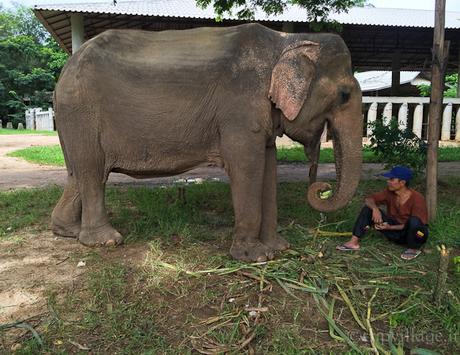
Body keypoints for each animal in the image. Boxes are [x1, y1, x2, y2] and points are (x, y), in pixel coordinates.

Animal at [52, 22, 362, 262]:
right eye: (344, 95)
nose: (321, 188)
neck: (286, 40)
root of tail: (65, 69)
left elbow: (268, 163)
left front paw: (279, 248)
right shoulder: (239, 106)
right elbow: (246, 166)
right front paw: (255, 257)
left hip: (72, 119)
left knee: (77, 173)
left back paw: (67, 231)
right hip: (81, 113)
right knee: (92, 173)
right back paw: (105, 241)